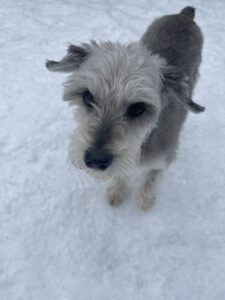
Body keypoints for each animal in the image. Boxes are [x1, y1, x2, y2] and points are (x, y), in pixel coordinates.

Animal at [45, 6, 204, 209]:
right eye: (88, 97)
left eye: (138, 108)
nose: (95, 160)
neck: (144, 140)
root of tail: (184, 15)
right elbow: (121, 174)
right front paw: (117, 191)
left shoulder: (163, 160)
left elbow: (150, 178)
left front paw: (145, 199)